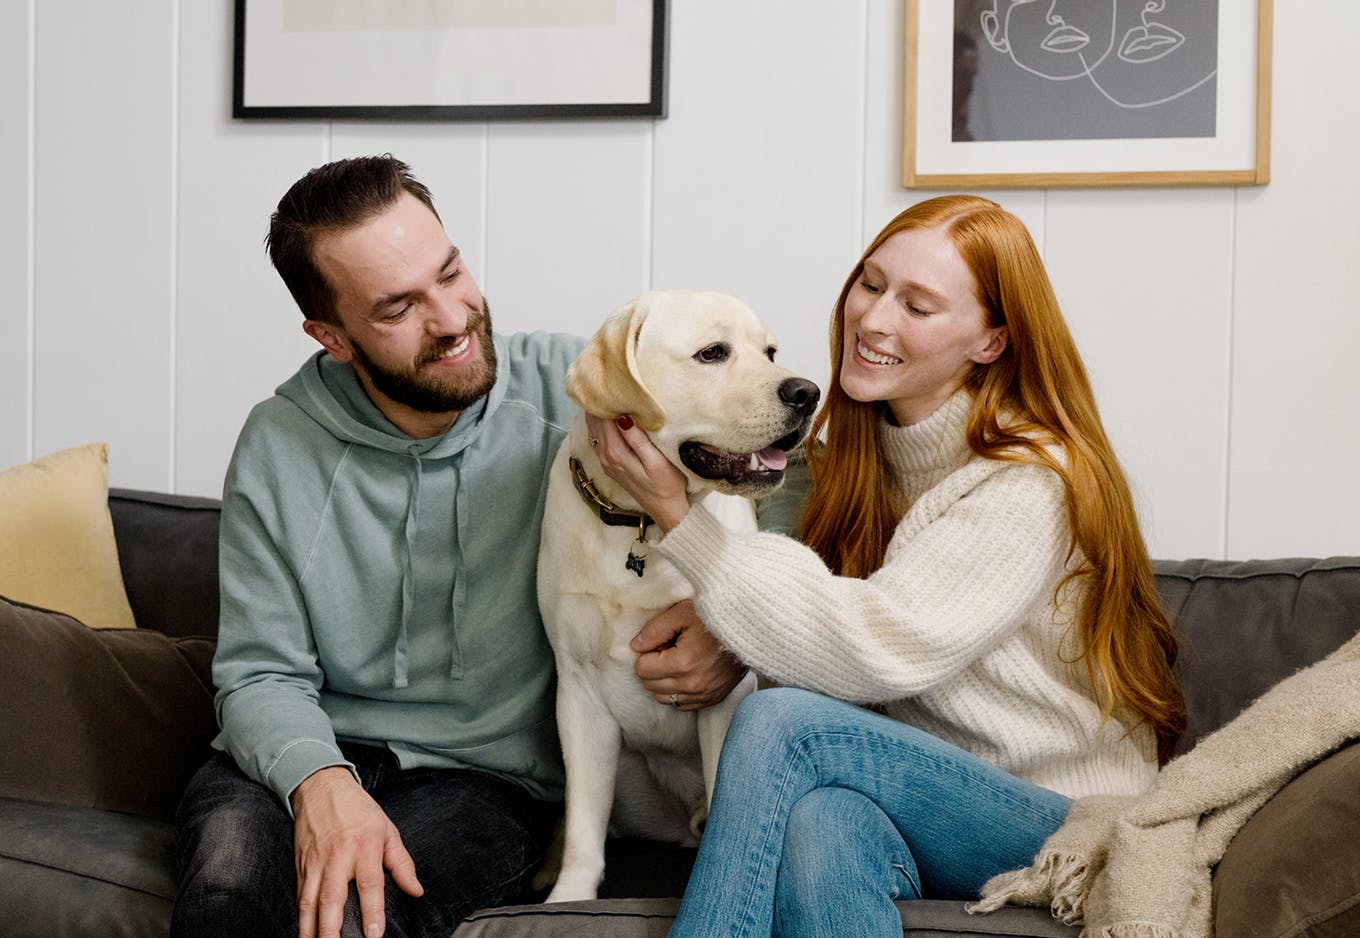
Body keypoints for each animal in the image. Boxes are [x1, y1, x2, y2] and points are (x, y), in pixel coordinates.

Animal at [538, 286, 816, 897]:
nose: (808, 393)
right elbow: (584, 825)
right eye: (712, 353)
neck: (642, 524)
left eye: (770, 351)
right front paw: (569, 894)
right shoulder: (578, 693)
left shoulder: (722, 695)